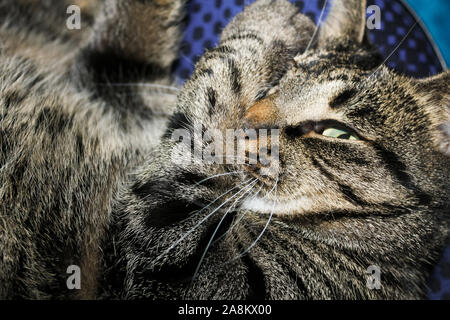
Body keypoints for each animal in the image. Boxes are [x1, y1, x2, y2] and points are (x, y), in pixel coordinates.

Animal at [0, 0, 448, 300]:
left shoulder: (175, 259)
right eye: (277, 83)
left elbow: (216, 85)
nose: (249, 121)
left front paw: (270, 21)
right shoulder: (124, 86)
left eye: (337, 133)